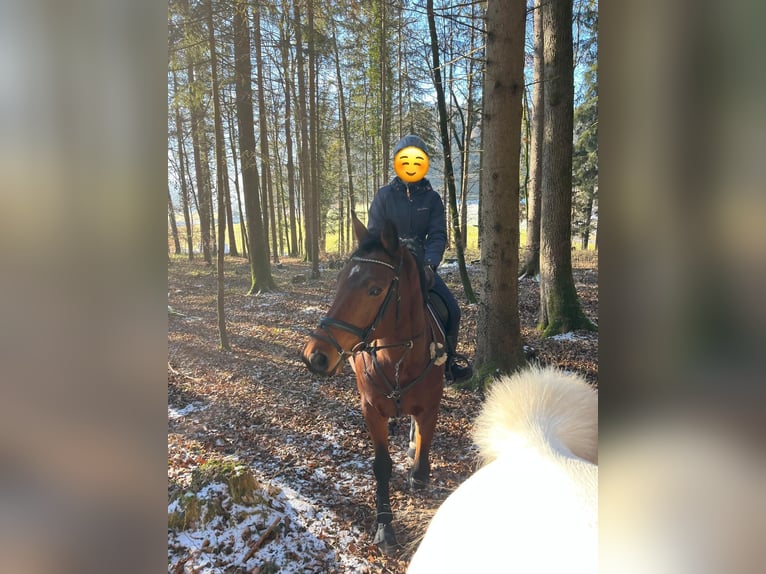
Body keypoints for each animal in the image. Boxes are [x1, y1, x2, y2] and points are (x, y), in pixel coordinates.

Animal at [301, 212, 447, 554]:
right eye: (340, 280)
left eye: (375, 290)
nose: (315, 356)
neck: (398, 358)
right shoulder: (370, 409)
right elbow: (381, 465)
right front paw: (385, 527)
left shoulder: (431, 406)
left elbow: (423, 458)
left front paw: (417, 468)